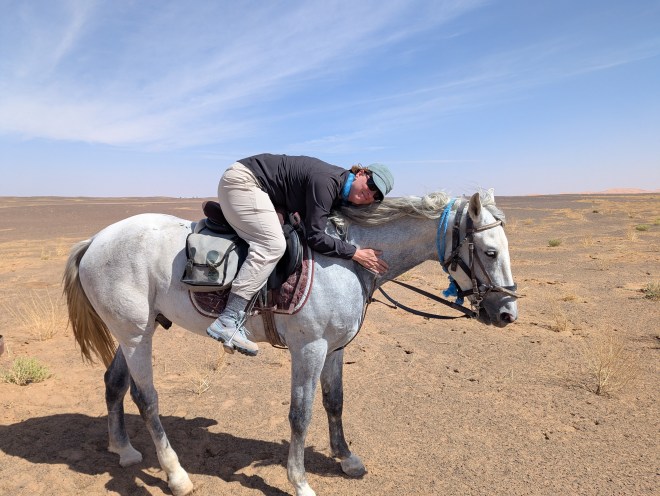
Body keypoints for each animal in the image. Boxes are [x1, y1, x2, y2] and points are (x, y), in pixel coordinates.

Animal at [63, 190, 518, 496]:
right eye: (490, 252)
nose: (507, 313)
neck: (348, 258)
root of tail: (96, 240)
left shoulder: (335, 349)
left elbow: (334, 402)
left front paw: (347, 458)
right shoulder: (309, 348)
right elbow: (301, 414)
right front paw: (299, 481)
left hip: (132, 332)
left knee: (114, 383)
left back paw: (123, 449)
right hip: (136, 334)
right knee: (147, 398)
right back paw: (176, 476)